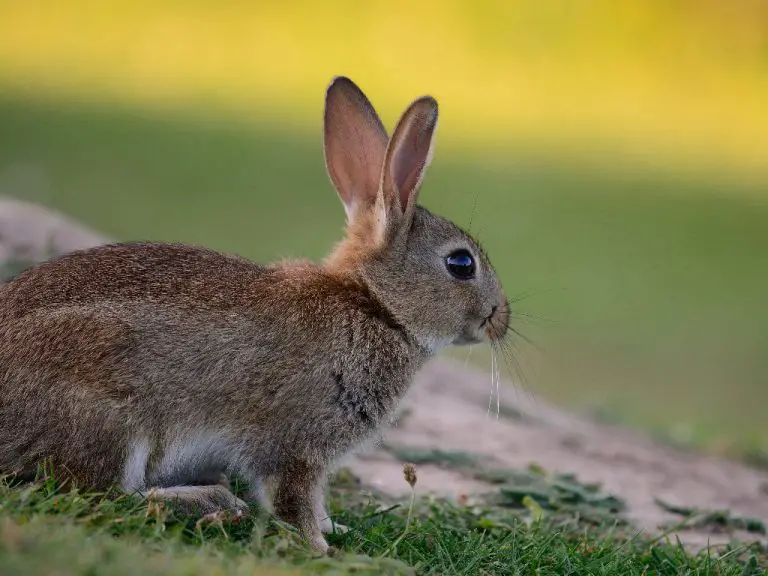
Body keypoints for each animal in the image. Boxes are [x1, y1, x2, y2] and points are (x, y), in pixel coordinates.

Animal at [0, 76, 510, 553]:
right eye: (461, 263)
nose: (500, 318)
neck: (375, 305)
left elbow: (317, 501)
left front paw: (336, 530)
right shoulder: (296, 444)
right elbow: (294, 499)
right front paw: (320, 548)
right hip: (110, 415)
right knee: (95, 493)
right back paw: (213, 503)